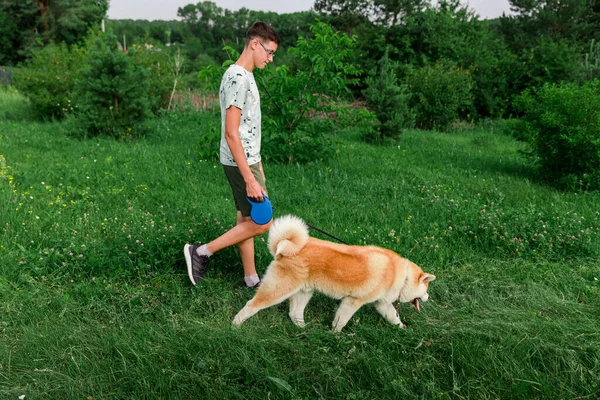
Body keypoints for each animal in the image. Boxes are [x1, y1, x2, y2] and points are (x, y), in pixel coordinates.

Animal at [231, 216, 436, 332]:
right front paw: (336, 336)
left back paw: (304, 329)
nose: (428, 297)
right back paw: (235, 324)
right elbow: (341, 321)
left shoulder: (382, 303)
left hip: (304, 292)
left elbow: (393, 316)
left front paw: (402, 329)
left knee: (294, 312)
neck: (401, 275)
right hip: (278, 290)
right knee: (252, 305)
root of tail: (284, 248)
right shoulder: (352, 301)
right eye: (426, 289)